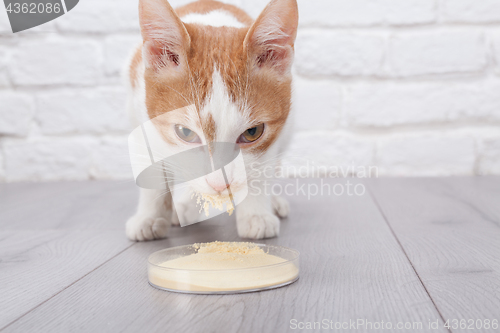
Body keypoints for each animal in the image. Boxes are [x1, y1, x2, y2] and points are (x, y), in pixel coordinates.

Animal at [125, 0, 298, 240]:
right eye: (185, 133)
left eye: (252, 132)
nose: (220, 184)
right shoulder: (141, 119)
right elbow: (152, 171)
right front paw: (149, 217)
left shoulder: (276, 133)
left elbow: (260, 166)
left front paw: (256, 214)